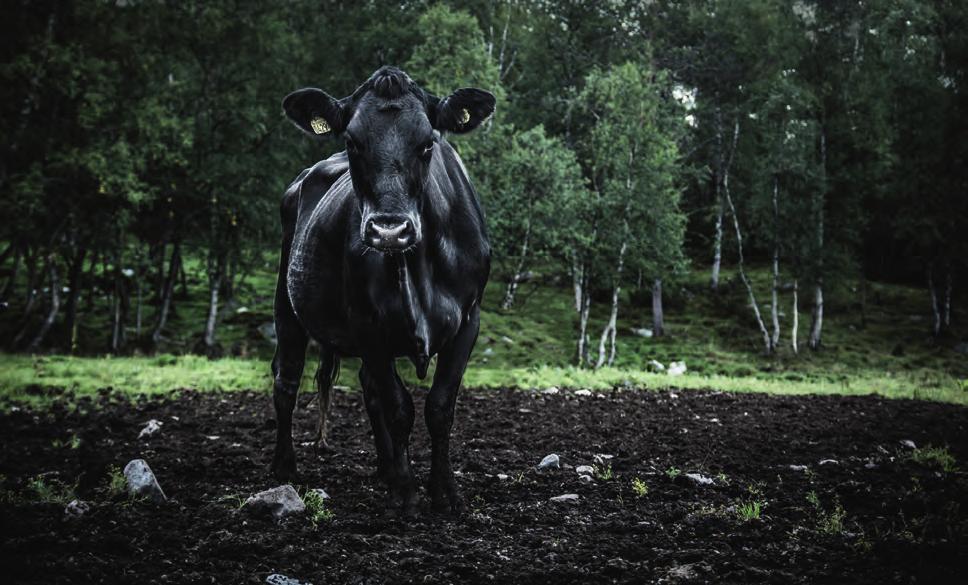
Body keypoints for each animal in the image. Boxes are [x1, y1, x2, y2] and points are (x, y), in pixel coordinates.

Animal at [272, 66, 496, 516]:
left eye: (428, 142)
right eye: (351, 141)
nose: (389, 230)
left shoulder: (469, 319)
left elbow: (439, 406)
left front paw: (444, 490)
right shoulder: (367, 324)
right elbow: (398, 408)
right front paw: (407, 493)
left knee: (367, 387)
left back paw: (384, 467)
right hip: (287, 303)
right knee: (286, 379)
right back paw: (285, 465)